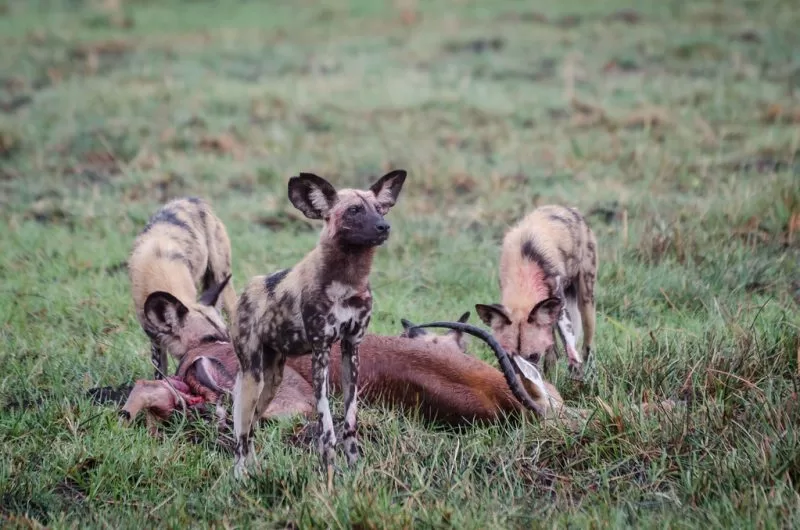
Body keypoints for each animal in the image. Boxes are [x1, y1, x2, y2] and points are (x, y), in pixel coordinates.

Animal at [129, 197, 238, 379]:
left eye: (226, 334)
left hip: (222, 278)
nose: (230, 354)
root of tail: (193, 199)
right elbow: (160, 374)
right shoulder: (156, 339)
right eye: (209, 339)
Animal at [231, 170, 407, 485]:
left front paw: (353, 471)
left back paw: (254, 472)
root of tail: (248, 288)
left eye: (380, 208)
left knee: (251, 429)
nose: (384, 227)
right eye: (354, 210)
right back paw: (240, 477)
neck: (348, 281)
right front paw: (330, 477)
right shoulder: (320, 352)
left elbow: (349, 424)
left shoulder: (352, 348)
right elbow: (327, 430)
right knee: (241, 431)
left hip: (271, 381)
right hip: (253, 376)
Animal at [475, 205, 598, 380]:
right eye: (508, 357)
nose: (521, 382)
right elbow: (552, 352)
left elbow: (570, 346)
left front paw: (576, 375)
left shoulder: (560, 309)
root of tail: (568, 209)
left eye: (533, 356)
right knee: (553, 351)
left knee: (587, 347)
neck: (524, 270)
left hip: (586, 302)